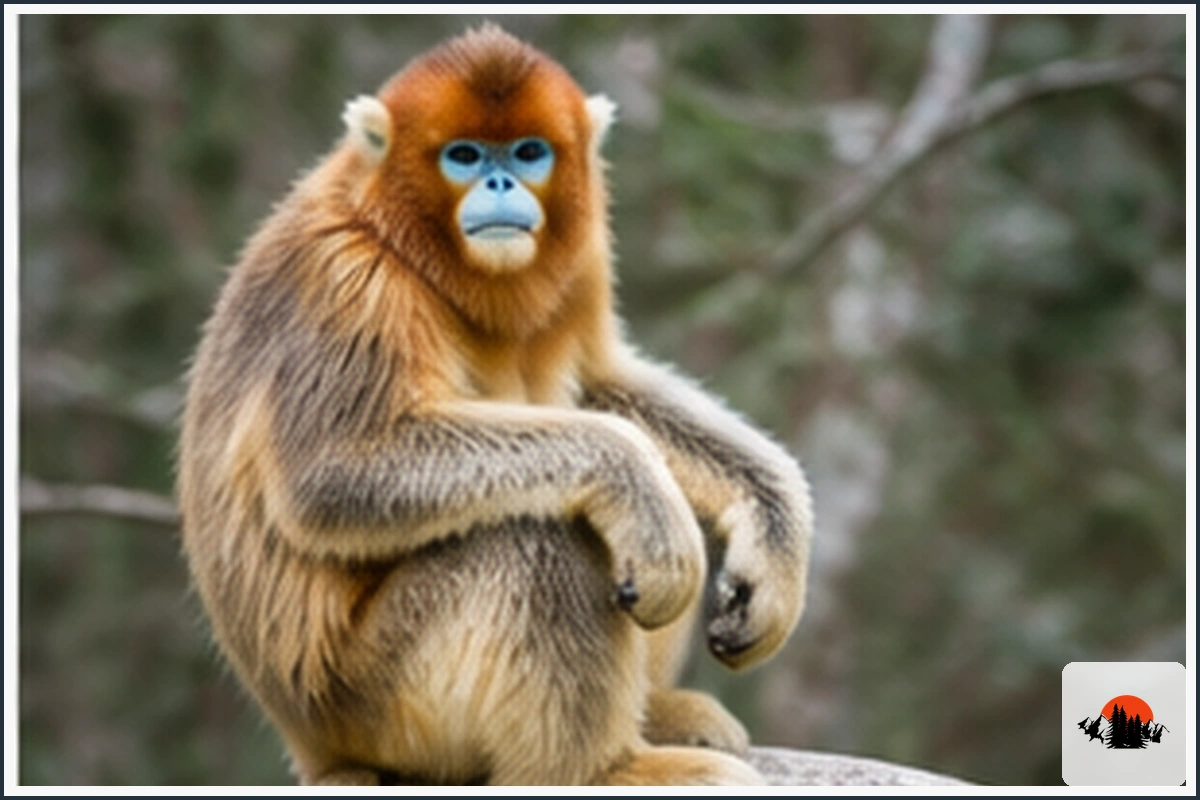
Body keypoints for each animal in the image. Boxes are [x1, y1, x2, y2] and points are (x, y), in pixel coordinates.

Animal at [178, 26, 813, 786]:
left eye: (529, 152)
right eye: (465, 155)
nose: (500, 183)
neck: (403, 237)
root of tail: (313, 743)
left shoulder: (582, 257)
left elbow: (599, 384)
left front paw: (774, 527)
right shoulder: (346, 279)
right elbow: (328, 476)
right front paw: (629, 474)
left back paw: (653, 717)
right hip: (373, 703)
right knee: (540, 534)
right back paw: (605, 772)